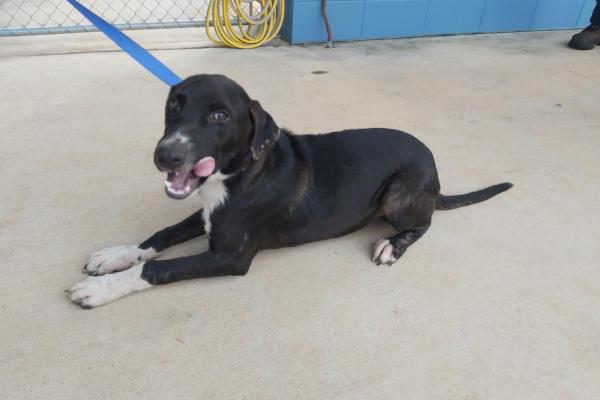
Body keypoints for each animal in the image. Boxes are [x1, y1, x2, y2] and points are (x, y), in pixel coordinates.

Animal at [69, 75, 510, 310]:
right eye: (174, 105)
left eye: (220, 115)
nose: (165, 155)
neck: (242, 171)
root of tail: (434, 168)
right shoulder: (210, 213)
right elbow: (160, 237)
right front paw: (115, 256)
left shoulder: (230, 257)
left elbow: (157, 269)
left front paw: (101, 289)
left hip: (398, 198)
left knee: (424, 223)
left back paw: (392, 245)